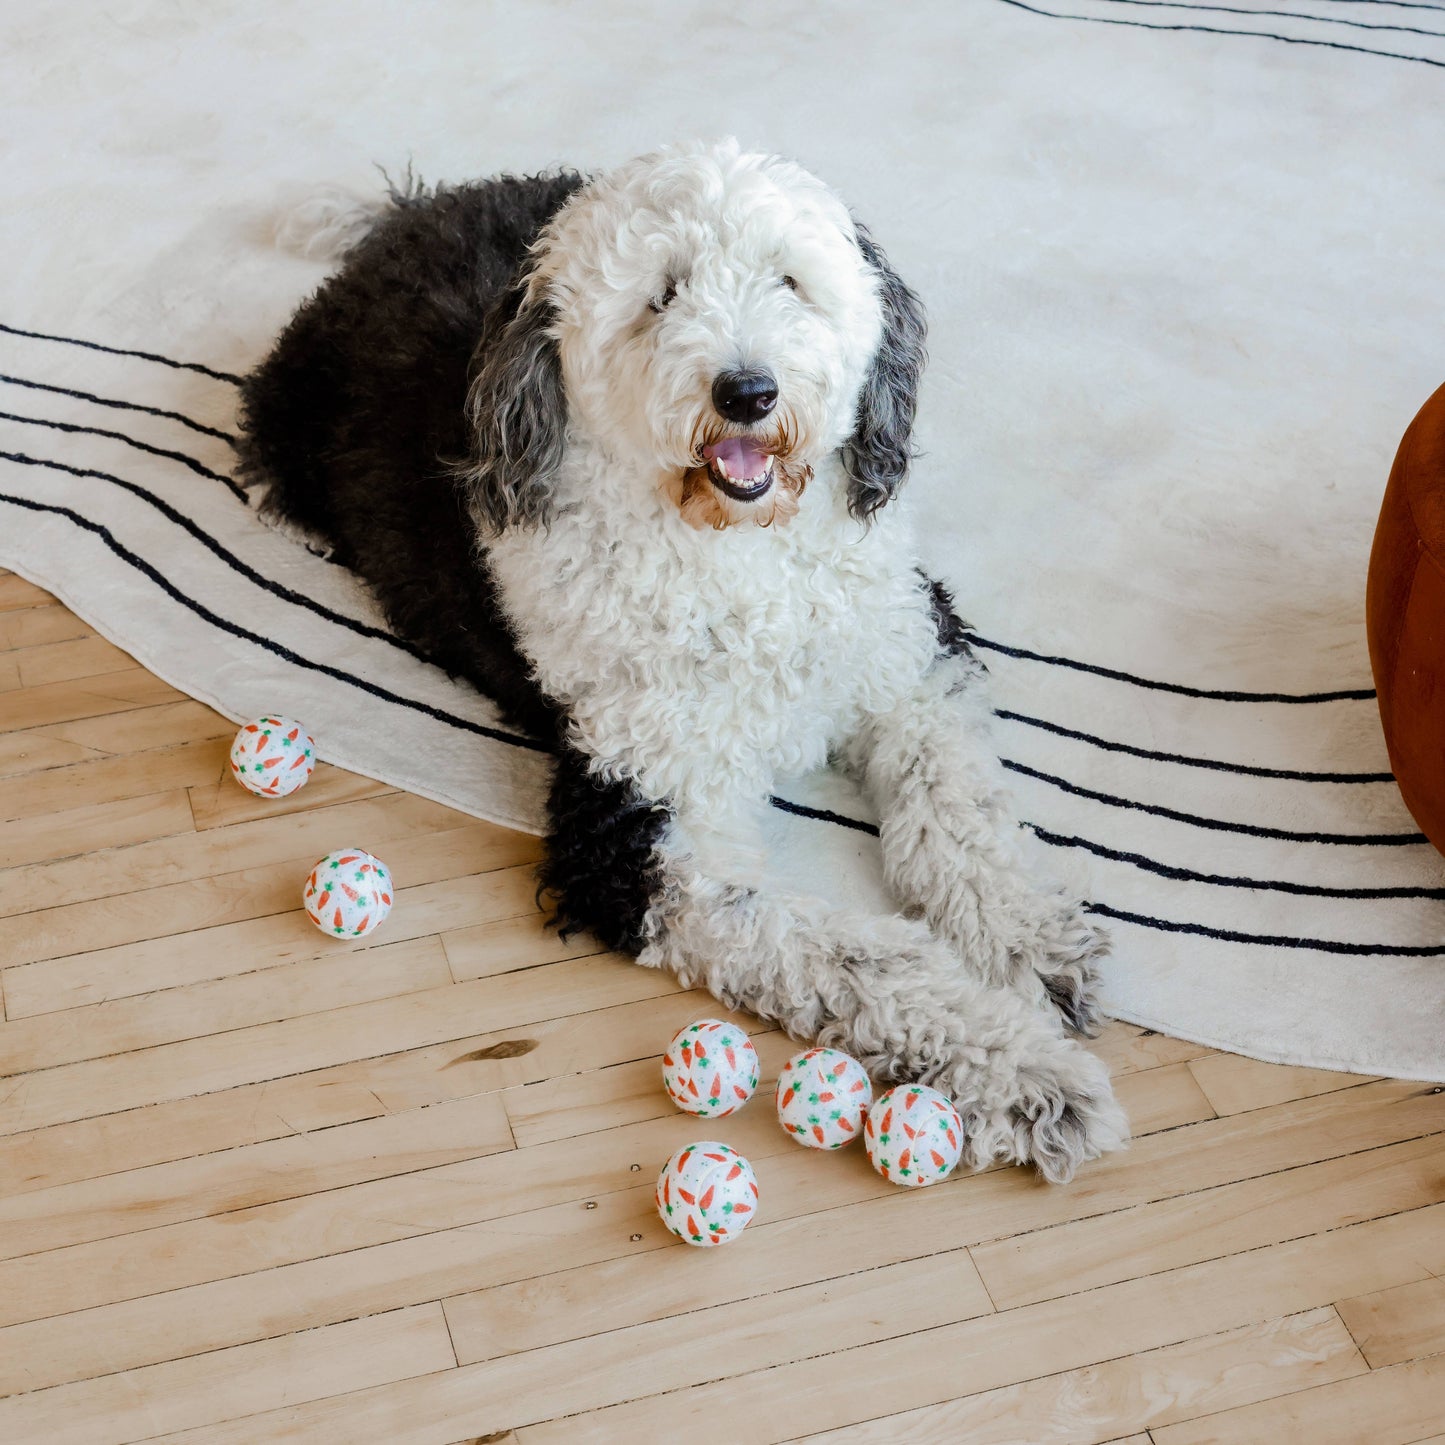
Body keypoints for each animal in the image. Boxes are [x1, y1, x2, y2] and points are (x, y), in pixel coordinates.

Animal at [239, 135, 1127, 1179]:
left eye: (789, 279)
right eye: (661, 294)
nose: (747, 391)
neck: (736, 556)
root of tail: (409, 216)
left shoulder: (907, 658)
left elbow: (960, 814)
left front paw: (1026, 942)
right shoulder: (638, 828)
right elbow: (844, 955)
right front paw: (1028, 1074)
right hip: (289, 419)